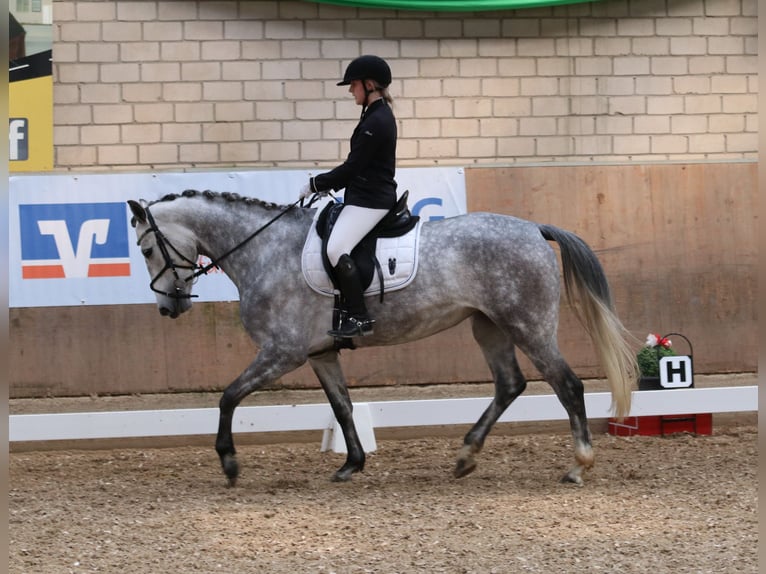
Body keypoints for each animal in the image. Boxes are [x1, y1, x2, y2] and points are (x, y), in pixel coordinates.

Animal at [129, 191, 640, 488]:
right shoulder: (320, 352)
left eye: (148, 248)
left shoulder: (282, 352)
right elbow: (342, 407)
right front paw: (351, 463)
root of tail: (535, 228)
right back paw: (465, 457)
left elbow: (229, 396)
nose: (168, 307)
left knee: (567, 385)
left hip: (528, 326)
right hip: (488, 326)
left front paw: (230, 463)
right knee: (510, 384)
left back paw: (577, 466)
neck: (264, 250)